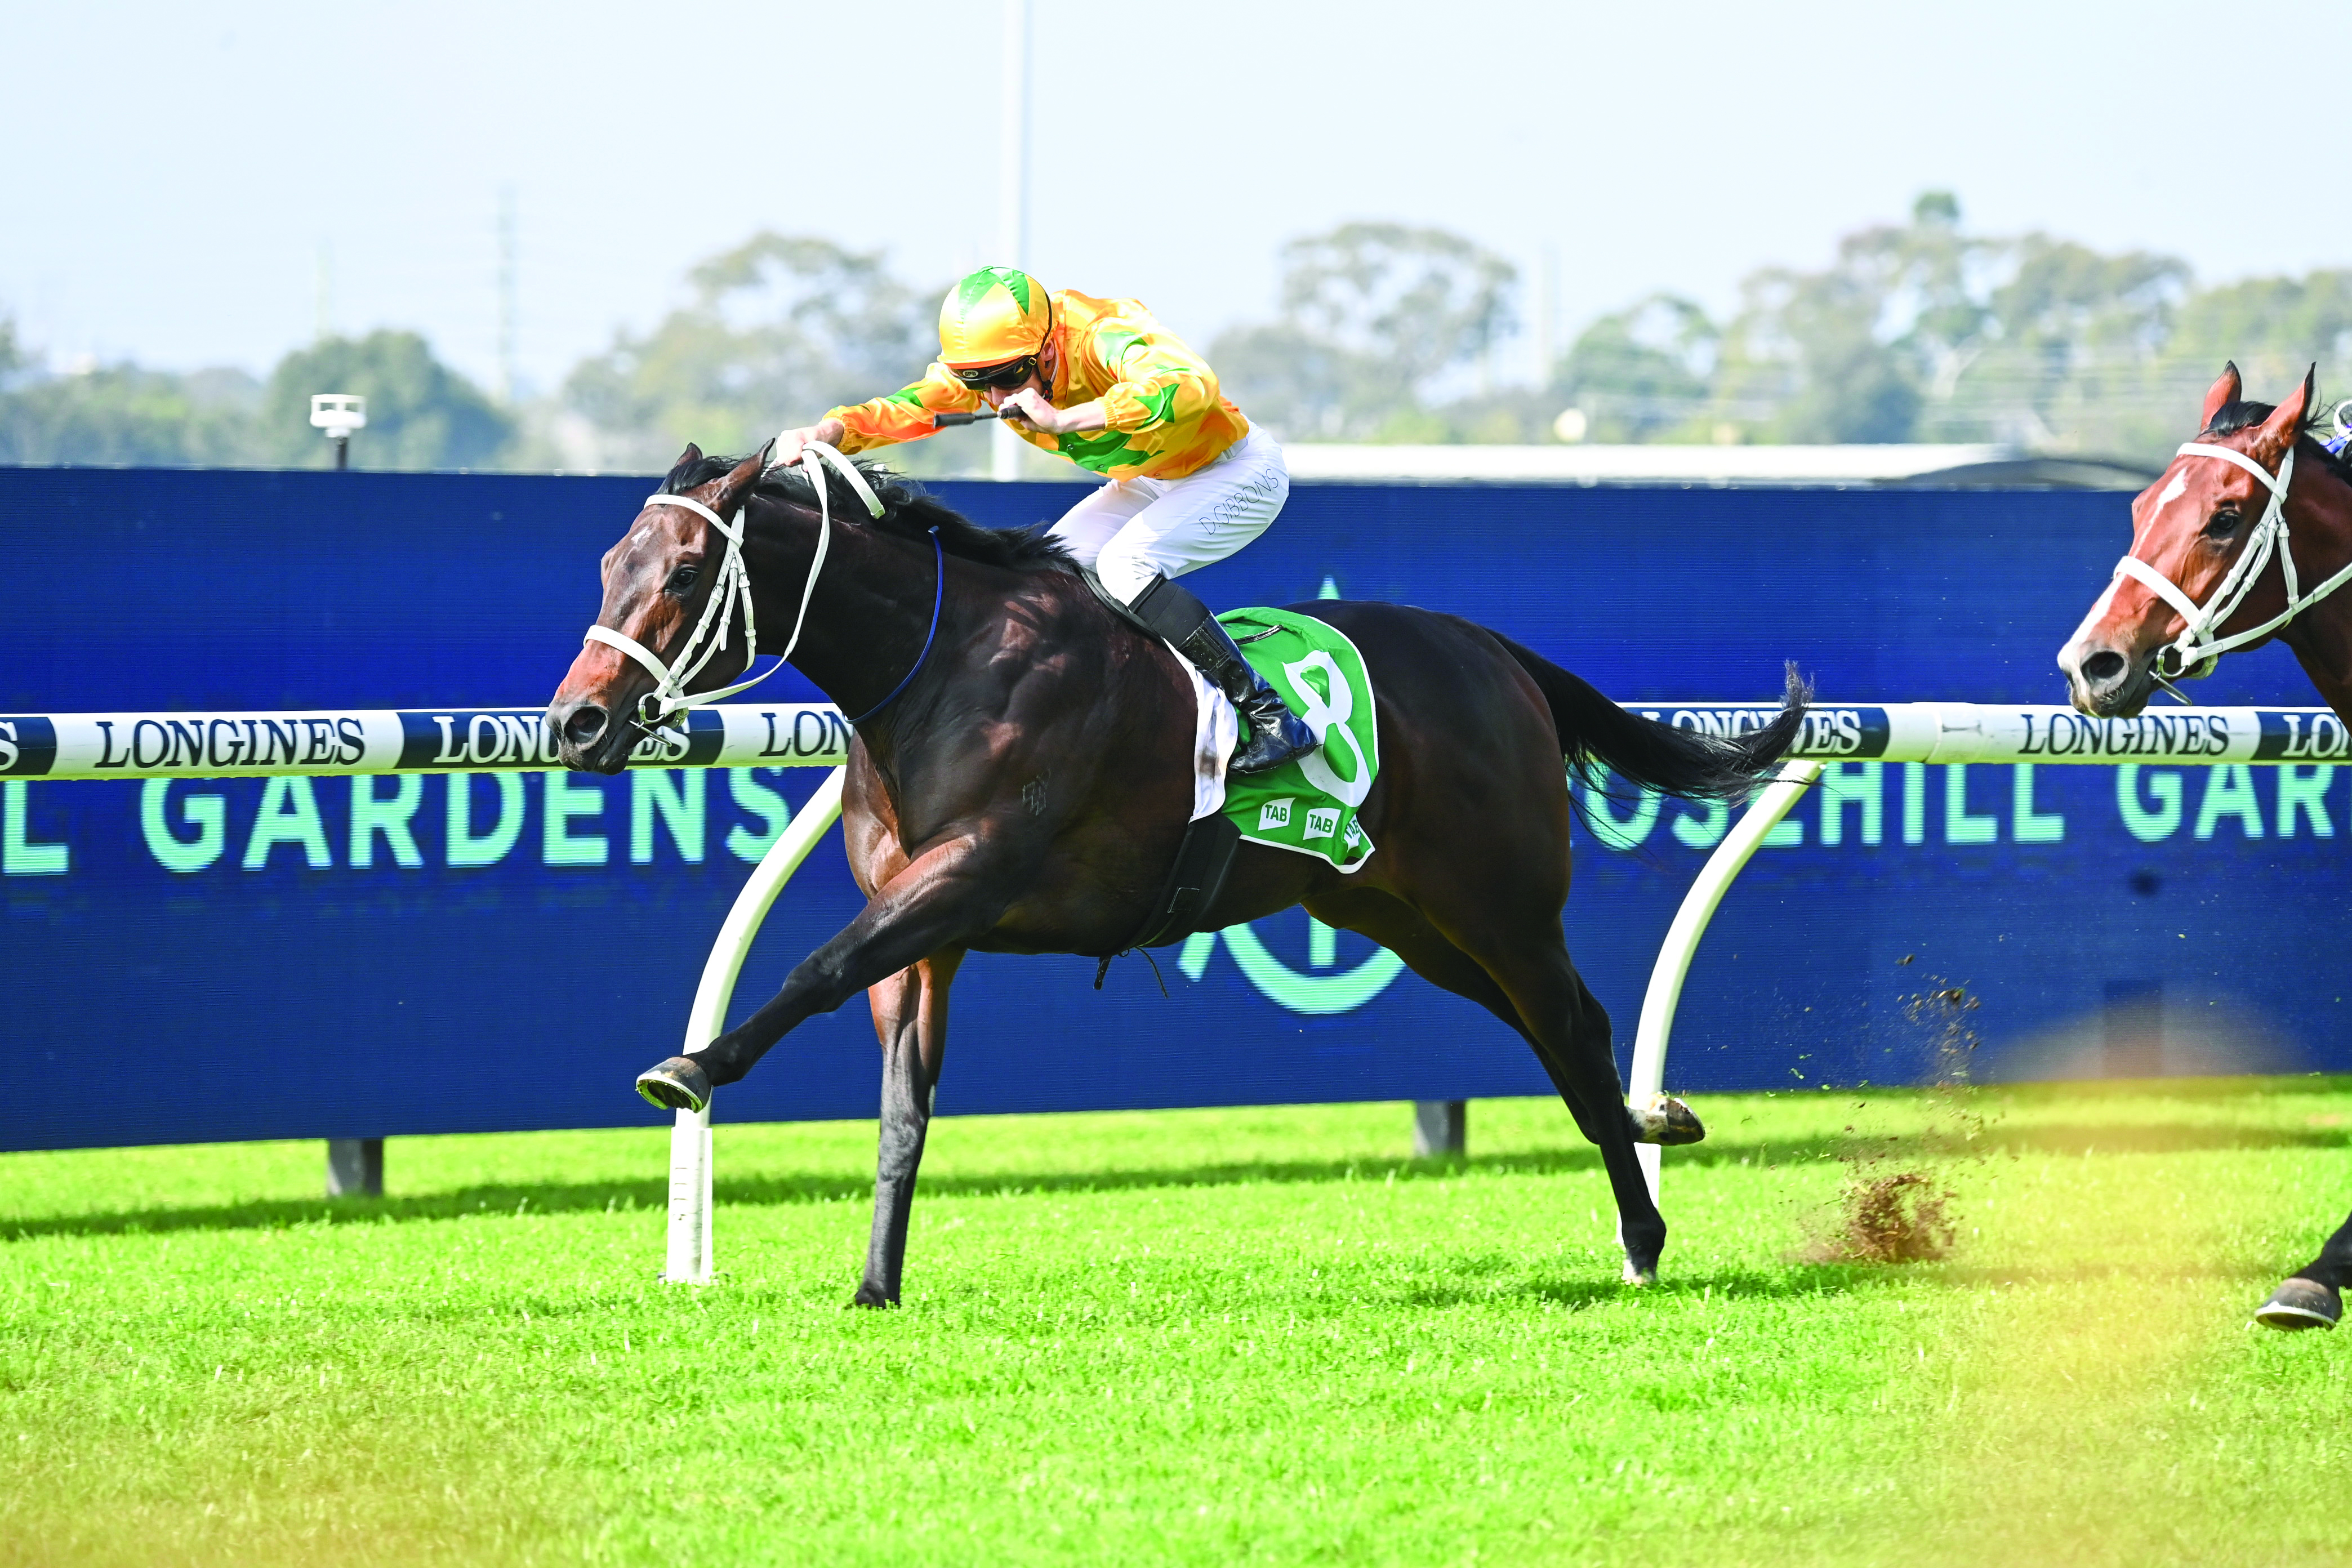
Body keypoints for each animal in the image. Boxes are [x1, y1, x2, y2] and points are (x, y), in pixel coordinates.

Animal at [548, 444, 1806, 1305]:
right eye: (611, 564)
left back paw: (1643, 1236)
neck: (942, 667)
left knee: (1575, 1030)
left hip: (1499, 903)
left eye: (689, 570)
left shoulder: (968, 874)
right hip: (1403, 917)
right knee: (1560, 1031)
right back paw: (1653, 1130)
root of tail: (1496, 651)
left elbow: (813, 966)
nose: (574, 724)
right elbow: (903, 1106)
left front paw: (689, 1068)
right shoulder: (926, 929)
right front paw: (875, 1286)